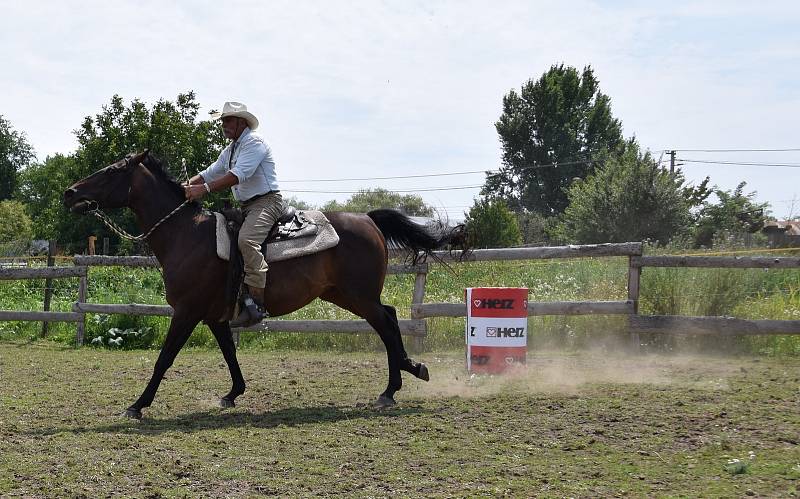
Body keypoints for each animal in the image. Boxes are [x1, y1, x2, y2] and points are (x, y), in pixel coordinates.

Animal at [65, 151, 466, 418]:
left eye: (112, 170)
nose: (70, 192)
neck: (186, 235)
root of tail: (367, 219)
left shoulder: (187, 312)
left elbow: (164, 358)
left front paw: (137, 405)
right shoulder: (213, 316)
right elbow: (229, 354)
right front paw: (232, 394)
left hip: (358, 295)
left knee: (385, 323)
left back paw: (397, 384)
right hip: (345, 295)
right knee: (390, 318)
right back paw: (401, 379)